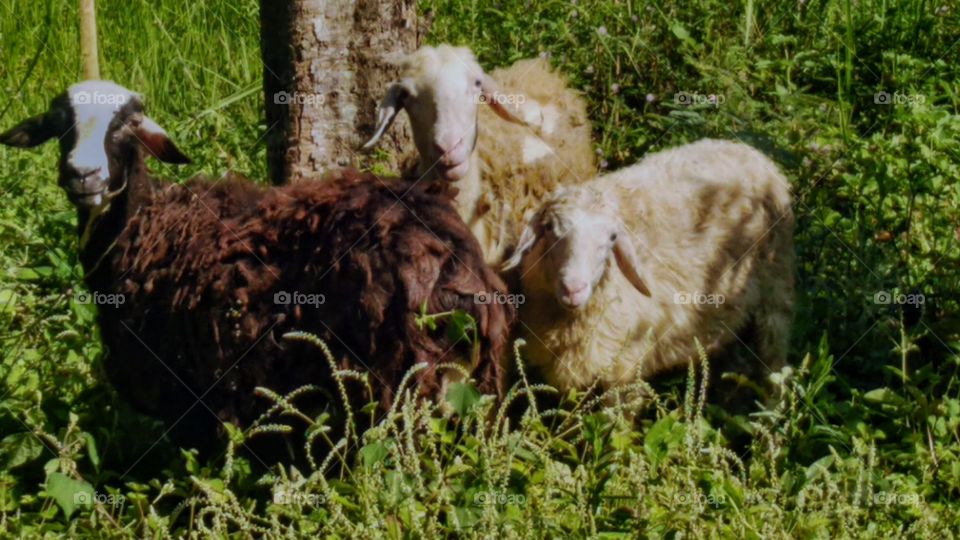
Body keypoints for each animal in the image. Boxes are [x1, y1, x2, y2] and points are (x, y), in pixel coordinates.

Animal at [1, 81, 515, 453]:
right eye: (60, 124)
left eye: (126, 125)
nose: (82, 175)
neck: (150, 224)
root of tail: (450, 258)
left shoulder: (195, 395)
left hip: (389, 381)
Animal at [502, 139, 795, 395]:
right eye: (550, 228)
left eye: (611, 238)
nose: (573, 288)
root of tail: (748, 152)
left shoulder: (628, 367)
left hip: (776, 290)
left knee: (775, 360)